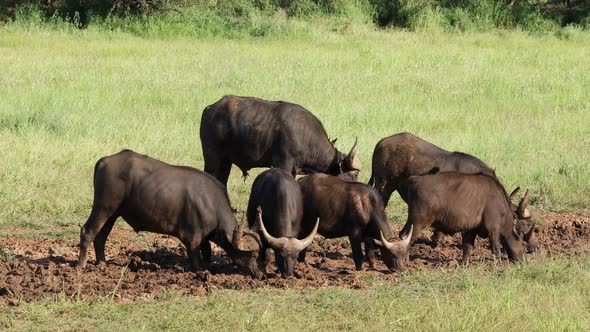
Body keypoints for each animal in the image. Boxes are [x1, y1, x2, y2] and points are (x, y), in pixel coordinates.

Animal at [77, 149, 266, 278]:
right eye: (253, 255)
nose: (261, 274)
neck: (211, 203)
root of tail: (104, 161)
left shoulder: (204, 237)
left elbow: (207, 252)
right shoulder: (192, 238)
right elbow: (196, 259)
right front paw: (200, 272)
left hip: (113, 214)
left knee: (100, 237)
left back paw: (102, 263)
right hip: (103, 207)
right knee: (88, 231)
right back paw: (81, 265)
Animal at [201, 95, 364, 187]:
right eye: (354, 174)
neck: (306, 135)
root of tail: (209, 109)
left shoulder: (294, 169)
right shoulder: (283, 164)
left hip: (225, 161)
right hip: (212, 158)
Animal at [398, 169, 532, 270]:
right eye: (521, 242)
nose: (524, 261)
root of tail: (414, 179)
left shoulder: (470, 230)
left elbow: (468, 248)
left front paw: (464, 264)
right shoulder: (493, 229)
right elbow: (495, 249)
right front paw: (498, 265)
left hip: (411, 221)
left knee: (402, 235)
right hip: (418, 222)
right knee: (407, 238)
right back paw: (404, 261)